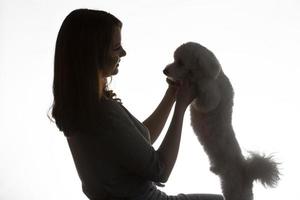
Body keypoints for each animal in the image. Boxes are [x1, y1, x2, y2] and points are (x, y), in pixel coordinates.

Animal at [164, 42, 278, 200]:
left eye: (181, 62)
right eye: (174, 59)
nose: (165, 71)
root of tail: (247, 171)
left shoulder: (211, 97)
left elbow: (204, 92)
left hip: (234, 189)